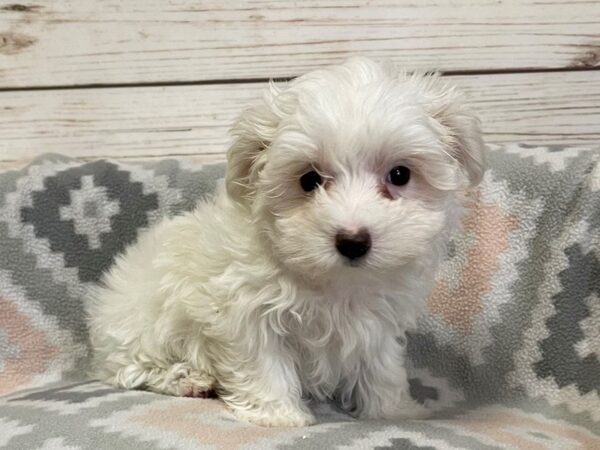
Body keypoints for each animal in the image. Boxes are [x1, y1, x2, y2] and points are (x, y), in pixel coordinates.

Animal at [86, 56, 486, 426]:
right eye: (309, 180)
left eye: (400, 175)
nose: (352, 241)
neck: (335, 283)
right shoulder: (245, 308)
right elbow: (262, 361)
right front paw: (278, 415)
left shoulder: (378, 320)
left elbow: (380, 366)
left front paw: (391, 410)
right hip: (138, 326)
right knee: (129, 368)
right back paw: (186, 378)